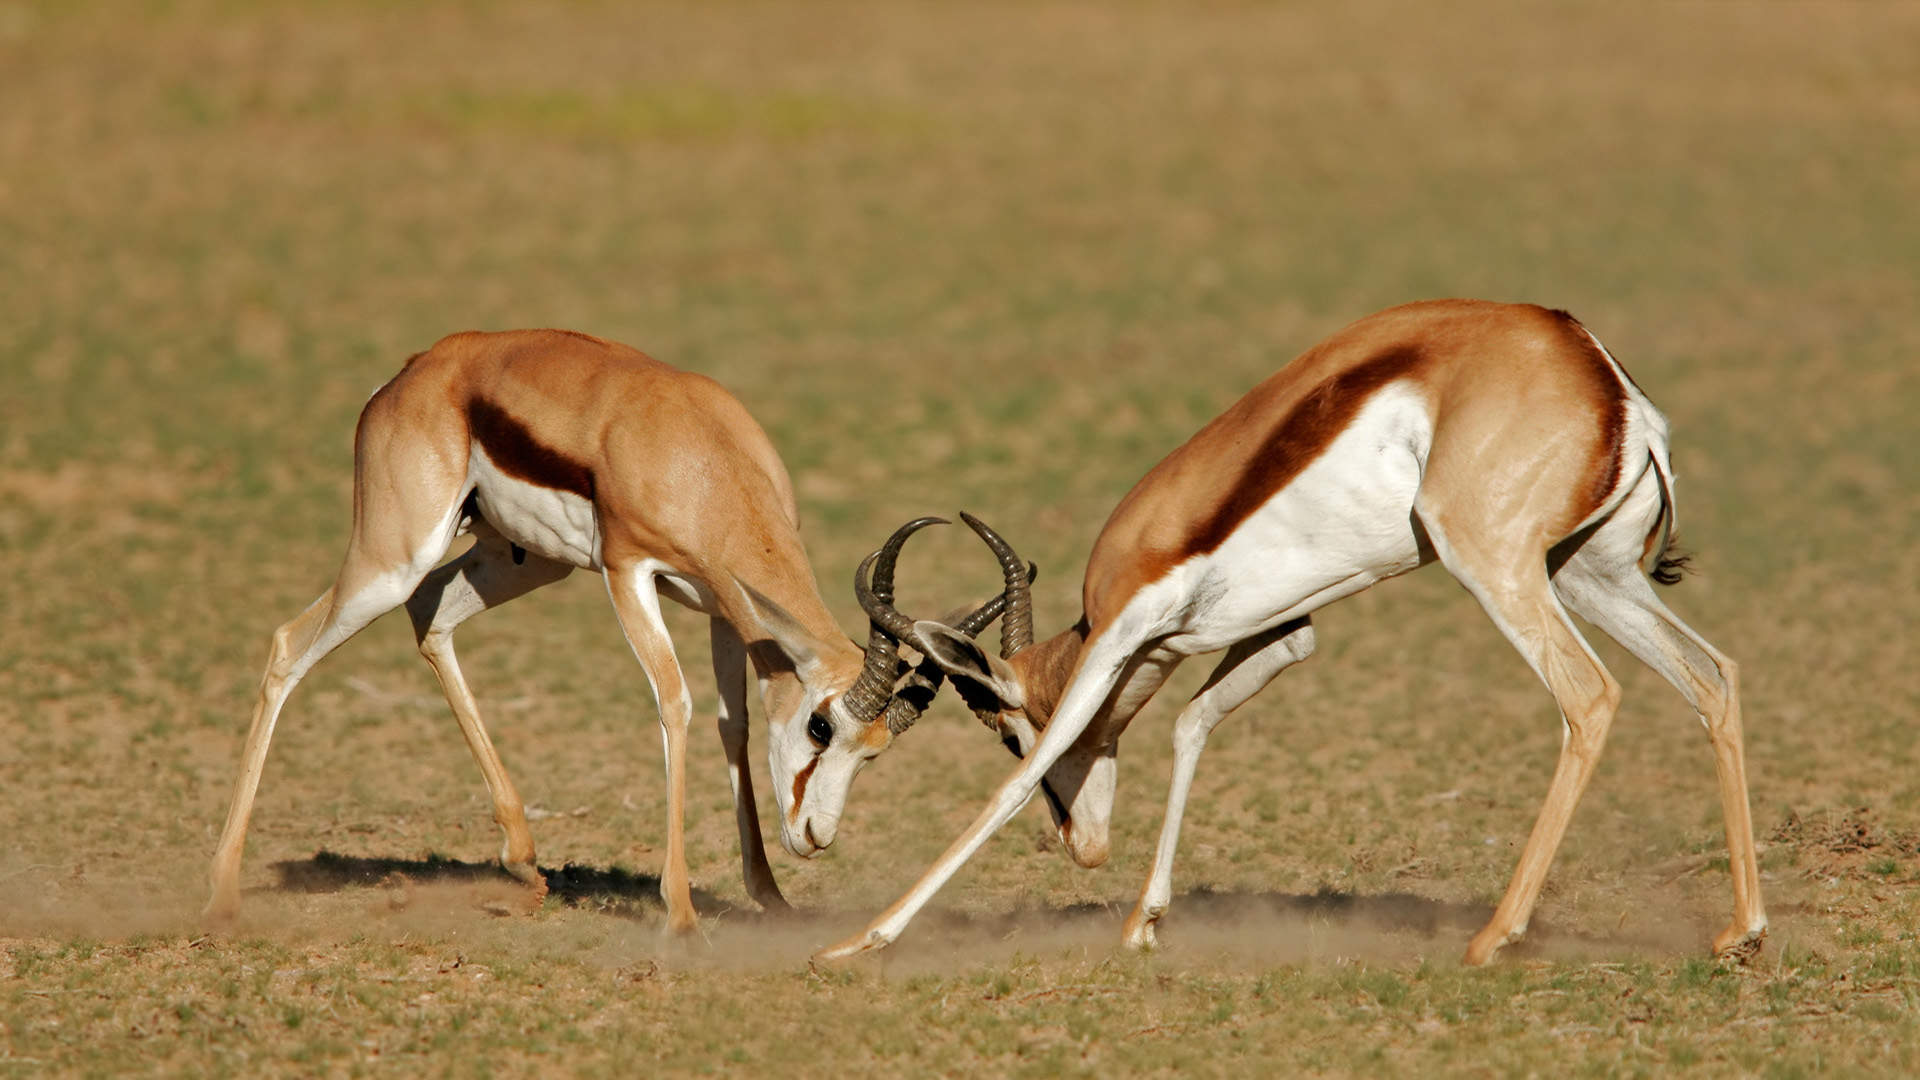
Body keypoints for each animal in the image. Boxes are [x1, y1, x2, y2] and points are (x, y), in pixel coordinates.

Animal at [203, 328, 1005, 931]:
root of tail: (416, 371)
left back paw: (523, 860)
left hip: (521, 561)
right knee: (290, 642)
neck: (700, 455)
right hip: (391, 559)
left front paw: (770, 896)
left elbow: (734, 724)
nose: (816, 838)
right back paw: (223, 893)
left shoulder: (723, 606)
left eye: (875, 753)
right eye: (820, 727)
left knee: (429, 612)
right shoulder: (629, 573)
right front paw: (679, 913)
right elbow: (675, 704)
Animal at [816, 300, 1767, 966]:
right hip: (1586, 572)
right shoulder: (1280, 633)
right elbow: (1193, 724)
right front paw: (1144, 924)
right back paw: (1742, 932)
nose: (1084, 850)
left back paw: (1493, 937)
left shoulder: (1124, 632)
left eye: (1009, 731)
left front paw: (859, 942)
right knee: (1713, 674)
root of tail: (1603, 376)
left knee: (1591, 695)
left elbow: (1014, 790)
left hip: (1495, 565)